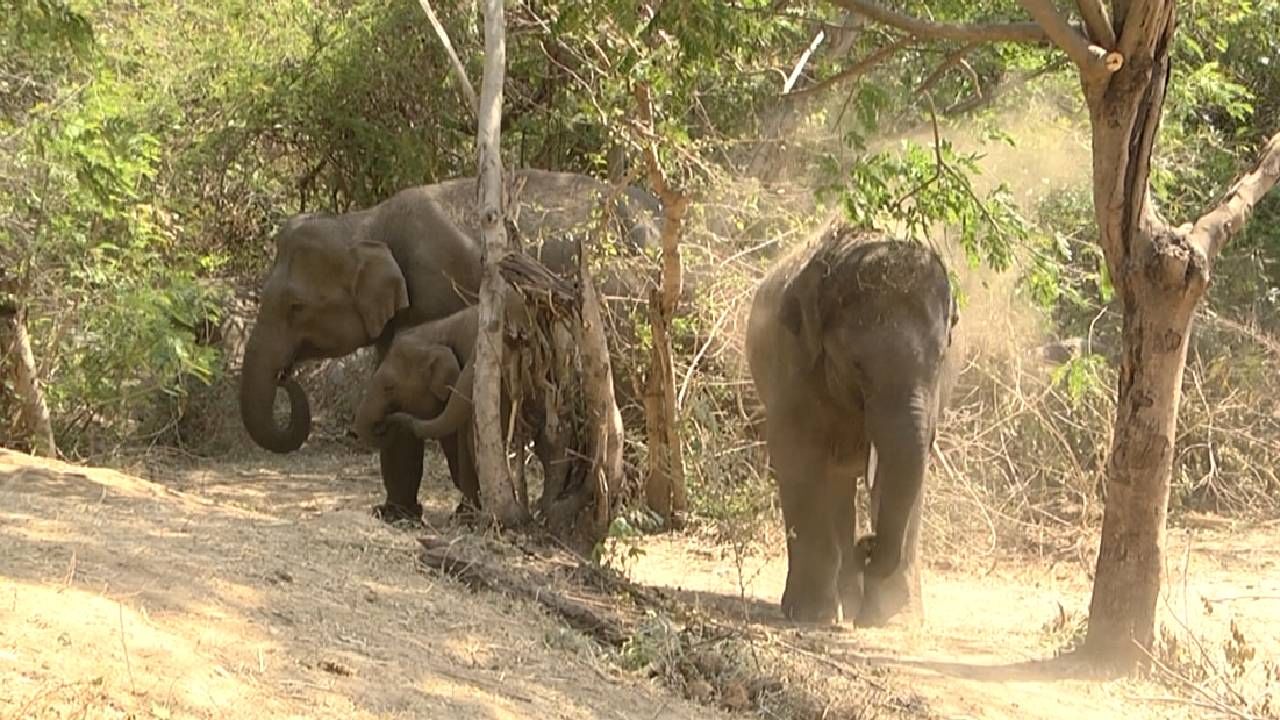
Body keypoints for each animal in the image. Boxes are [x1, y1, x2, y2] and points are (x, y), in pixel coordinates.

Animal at [240, 165, 660, 517]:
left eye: (295, 306)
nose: (285, 375)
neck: (367, 222)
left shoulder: (439, 288)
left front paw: (462, 510)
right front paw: (395, 514)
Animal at [747, 221, 957, 625]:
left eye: (940, 359)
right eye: (857, 365)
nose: (868, 546)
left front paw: (891, 620)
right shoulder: (793, 367)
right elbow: (797, 459)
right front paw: (811, 614)